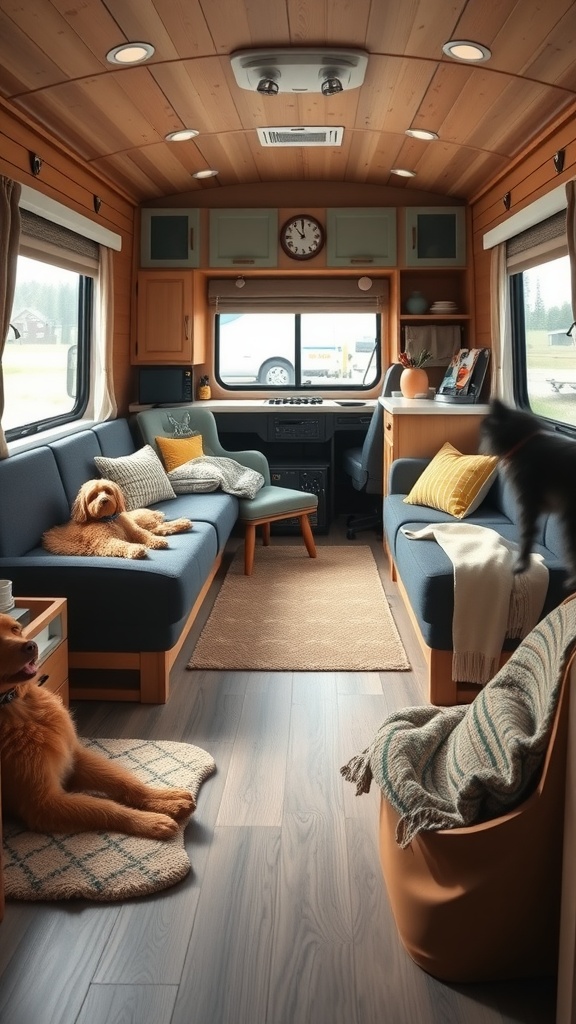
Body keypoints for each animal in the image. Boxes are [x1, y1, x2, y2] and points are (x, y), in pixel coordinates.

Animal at [0, 610, 194, 835]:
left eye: (15, 629)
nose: (31, 645)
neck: (16, 705)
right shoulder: (43, 803)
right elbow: (105, 807)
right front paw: (149, 821)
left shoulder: (74, 757)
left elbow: (124, 781)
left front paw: (164, 798)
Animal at [41, 479, 192, 561]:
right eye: (93, 496)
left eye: (108, 491)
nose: (104, 500)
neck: (109, 520)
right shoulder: (105, 542)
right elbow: (121, 545)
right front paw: (135, 549)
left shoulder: (133, 530)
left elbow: (145, 535)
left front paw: (156, 541)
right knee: (161, 527)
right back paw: (184, 523)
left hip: (143, 521)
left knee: (159, 527)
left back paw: (183, 523)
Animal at [477, 399, 573, 589]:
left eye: (484, 429)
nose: (479, 445)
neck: (523, 443)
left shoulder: (528, 504)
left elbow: (527, 536)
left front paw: (521, 565)